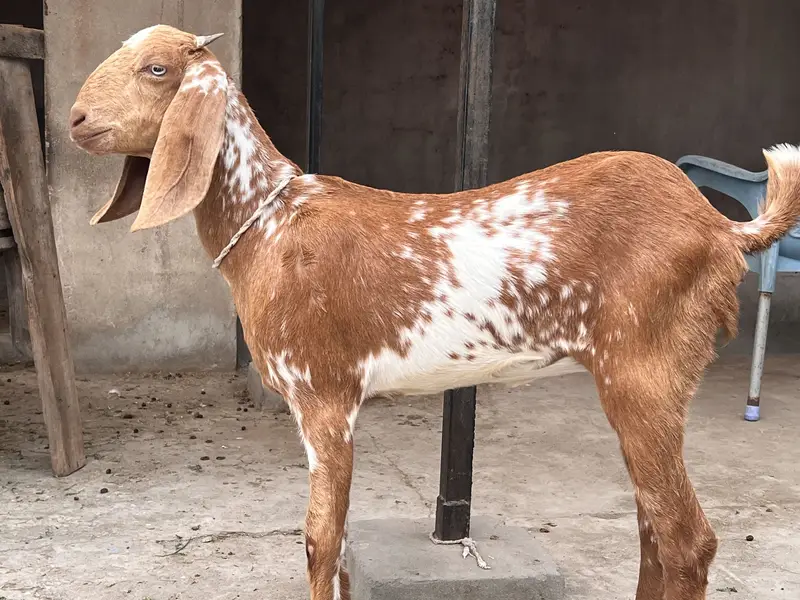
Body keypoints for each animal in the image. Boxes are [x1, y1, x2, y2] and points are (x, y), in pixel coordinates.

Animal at [69, 24, 800, 600]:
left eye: (157, 68)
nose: (75, 118)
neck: (271, 223)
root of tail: (721, 229)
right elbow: (334, 543)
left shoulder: (323, 395)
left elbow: (320, 540)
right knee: (654, 528)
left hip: (645, 370)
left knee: (686, 540)